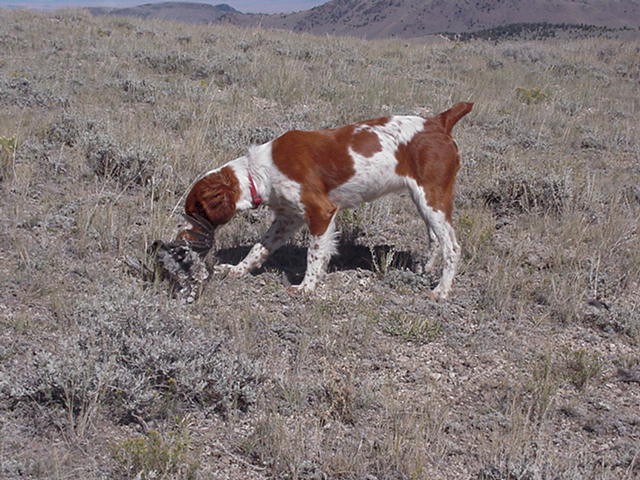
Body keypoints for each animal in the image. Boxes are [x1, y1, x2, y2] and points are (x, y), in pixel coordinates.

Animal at [172, 102, 472, 296]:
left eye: (194, 211)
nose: (181, 237)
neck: (260, 171)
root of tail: (438, 122)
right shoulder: (288, 218)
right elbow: (259, 247)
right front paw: (238, 269)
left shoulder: (321, 211)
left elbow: (314, 253)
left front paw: (306, 287)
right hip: (423, 201)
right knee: (435, 239)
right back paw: (424, 271)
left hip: (432, 197)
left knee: (453, 246)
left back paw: (441, 290)